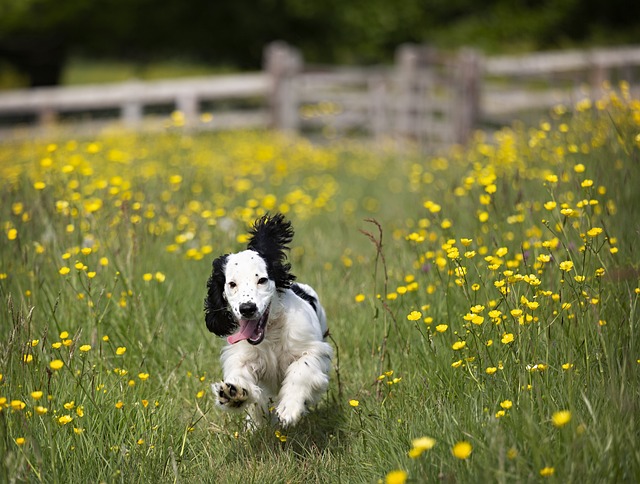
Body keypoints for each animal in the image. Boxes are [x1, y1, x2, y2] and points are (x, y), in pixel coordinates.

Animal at [205, 214, 332, 426]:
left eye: (262, 280)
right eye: (232, 284)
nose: (247, 308)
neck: (271, 332)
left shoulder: (314, 350)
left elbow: (301, 369)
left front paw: (288, 409)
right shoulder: (243, 356)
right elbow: (241, 375)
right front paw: (233, 394)